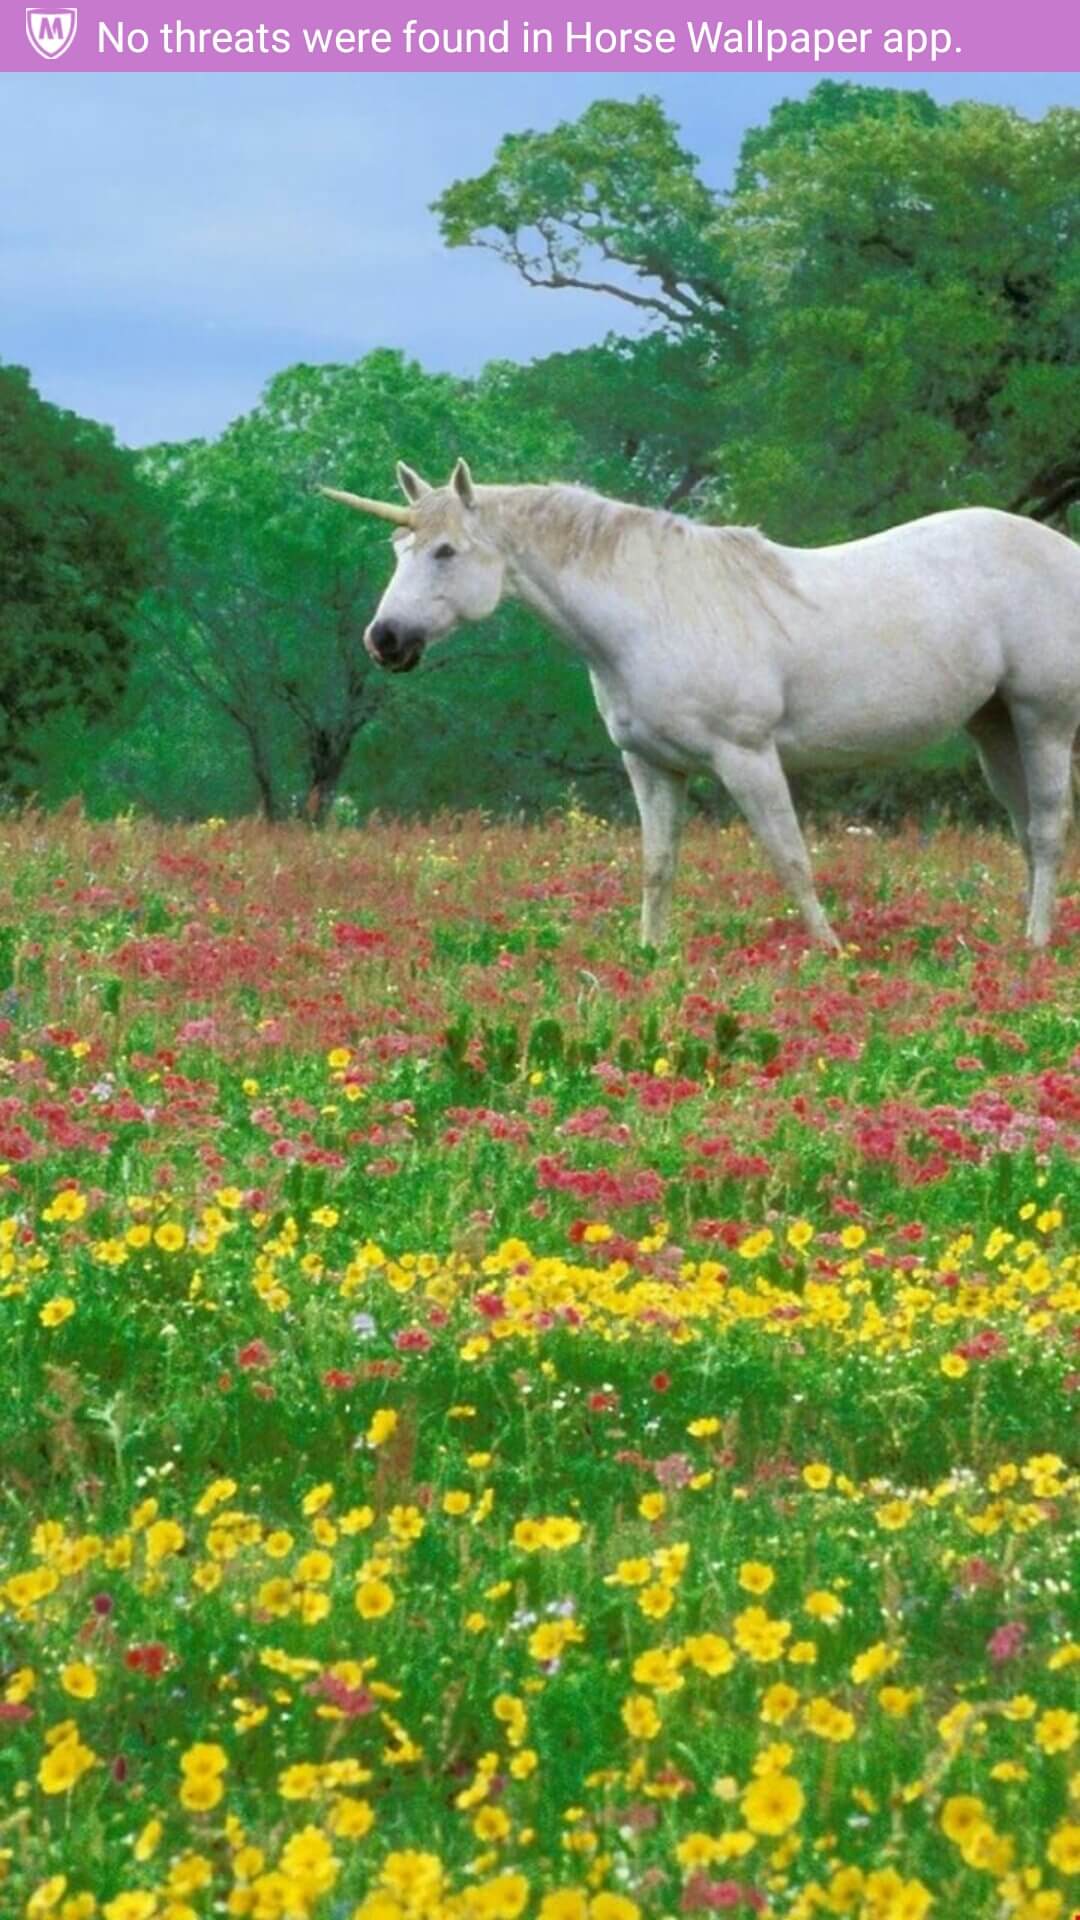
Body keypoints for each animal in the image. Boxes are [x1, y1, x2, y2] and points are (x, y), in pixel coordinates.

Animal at [320, 461, 1080, 949]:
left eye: (446, 551)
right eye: (399, 546)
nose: (384, 640)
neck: (652, 611)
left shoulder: (748, 758)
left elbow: (789, 856)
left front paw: (830, 951)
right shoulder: (652, 766)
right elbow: (658, 865)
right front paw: (652, 956)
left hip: (1043, 720)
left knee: (1046, 830)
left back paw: (1036, 944)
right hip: (994, 726)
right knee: (1024, 832)